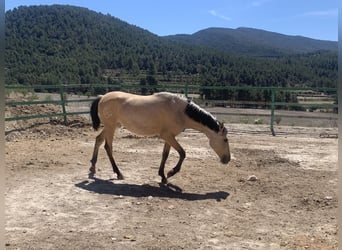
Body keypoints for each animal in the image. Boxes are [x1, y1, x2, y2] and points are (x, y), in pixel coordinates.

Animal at [89, 92, 231, 184]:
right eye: (225, 140)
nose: (227, 159)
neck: (181, 111)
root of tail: (102, 97)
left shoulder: (169, 136)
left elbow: (165, 155)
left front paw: (163, 176)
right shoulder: (167, 136)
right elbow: (182, 153)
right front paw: (171, 172)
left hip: (111, 126)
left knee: (98, 140)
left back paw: (93, 167)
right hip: (111, 127)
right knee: (108, 147)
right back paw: (118, 173)